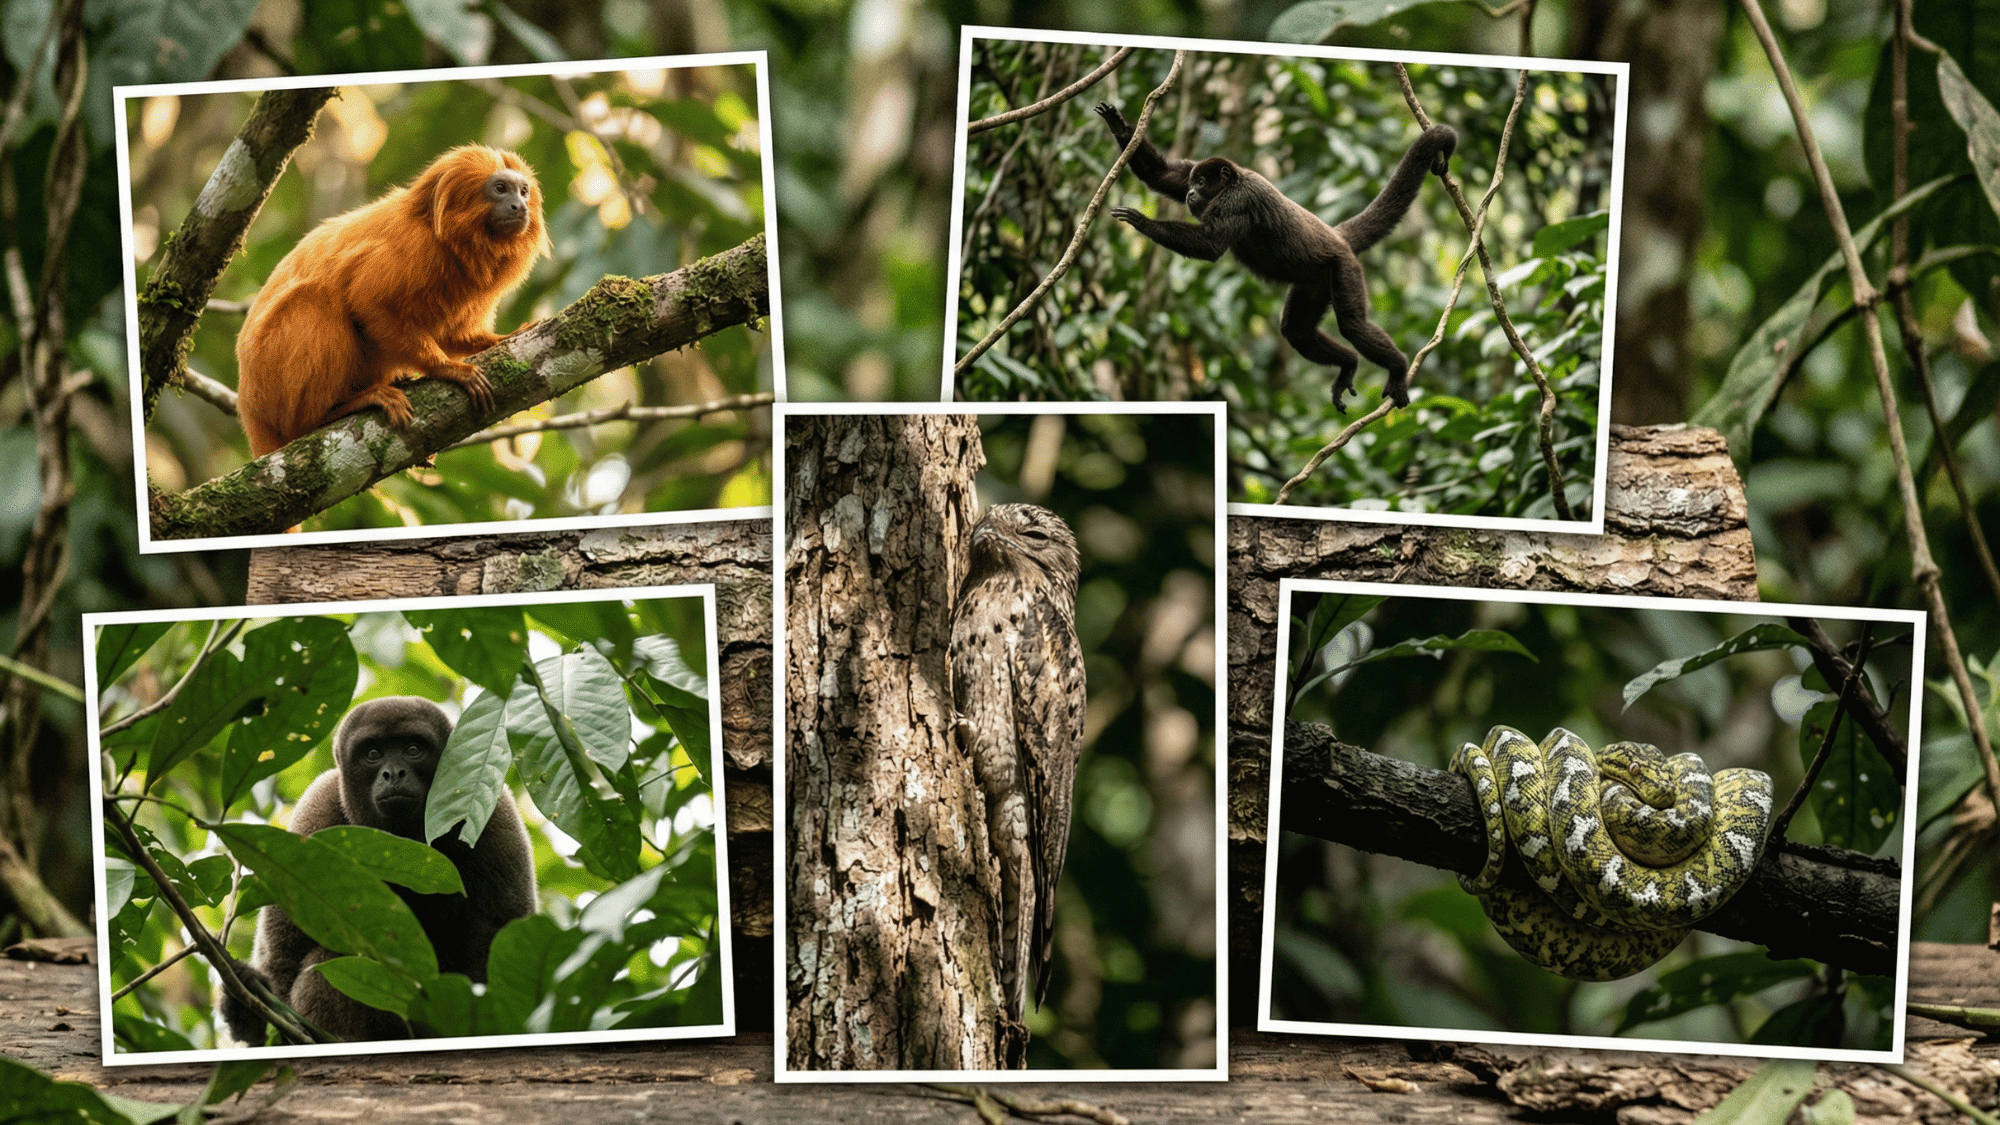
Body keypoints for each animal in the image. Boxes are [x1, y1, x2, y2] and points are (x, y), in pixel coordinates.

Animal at [217, 696, 536, 1044]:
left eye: (413, 749)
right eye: (372, 754)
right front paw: (246, 1012)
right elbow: (282, 960)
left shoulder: (495, 817)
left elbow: (505, 930)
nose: (393, 773)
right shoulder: (315, 815)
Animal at [234, 145, 549, 458]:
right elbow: (368, 302)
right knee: (314, 300)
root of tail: (251, 414)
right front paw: (447, 368)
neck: (445, 236)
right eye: (500, 189)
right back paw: (333, 411)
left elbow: (454, 335)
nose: (519, 207)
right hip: (271, 378)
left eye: (523, 191)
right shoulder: (414, 247)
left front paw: (503, 339)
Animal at [1095, 102, 1457, 412]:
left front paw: (1143, 222)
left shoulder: (1238, 199)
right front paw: (1118, 125)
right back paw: (1348, 364)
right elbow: (1161, 175)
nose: (1191, 193)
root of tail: (1338, 236)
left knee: (1353, 325)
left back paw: (1398, 368)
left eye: (1202, 182)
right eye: (1193, 181)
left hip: (1343, 267)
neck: (1234, 179)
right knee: (1296, 331)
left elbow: (1211, 246)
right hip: (1314, 283)